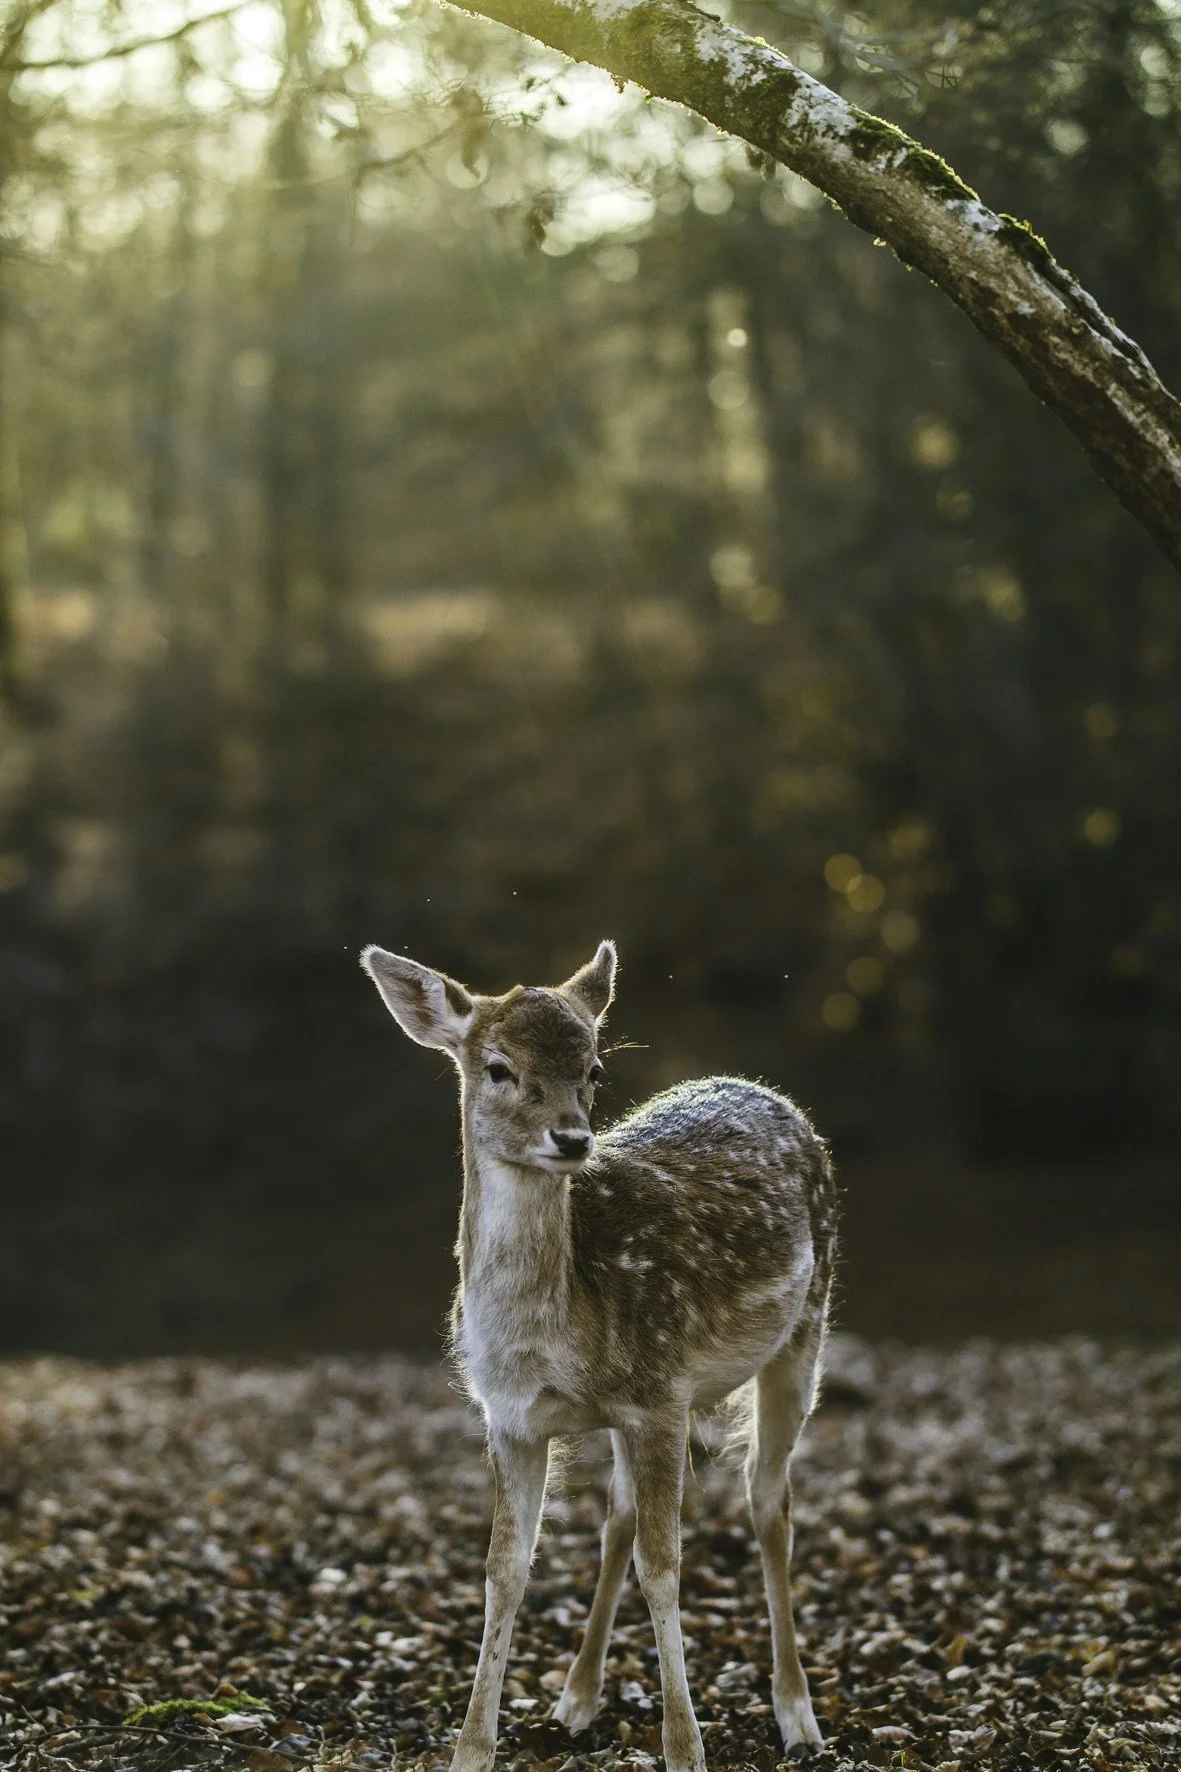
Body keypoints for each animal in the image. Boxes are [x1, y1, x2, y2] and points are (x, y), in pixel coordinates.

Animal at [360, 939, 837, 1772]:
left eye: (593, 1071)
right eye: (497, 1067)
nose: (573, 1138)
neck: (547, 1339)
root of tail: (766, 1092)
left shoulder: (663, 1394)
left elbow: (664, 1567)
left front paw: (685, 1748)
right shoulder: (510, 1419)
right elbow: (505, 1569)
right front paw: (471, 1748)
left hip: (805, 1328)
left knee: (768, 1503)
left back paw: (797, 1715)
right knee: (618, 1516)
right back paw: (576, 1698)